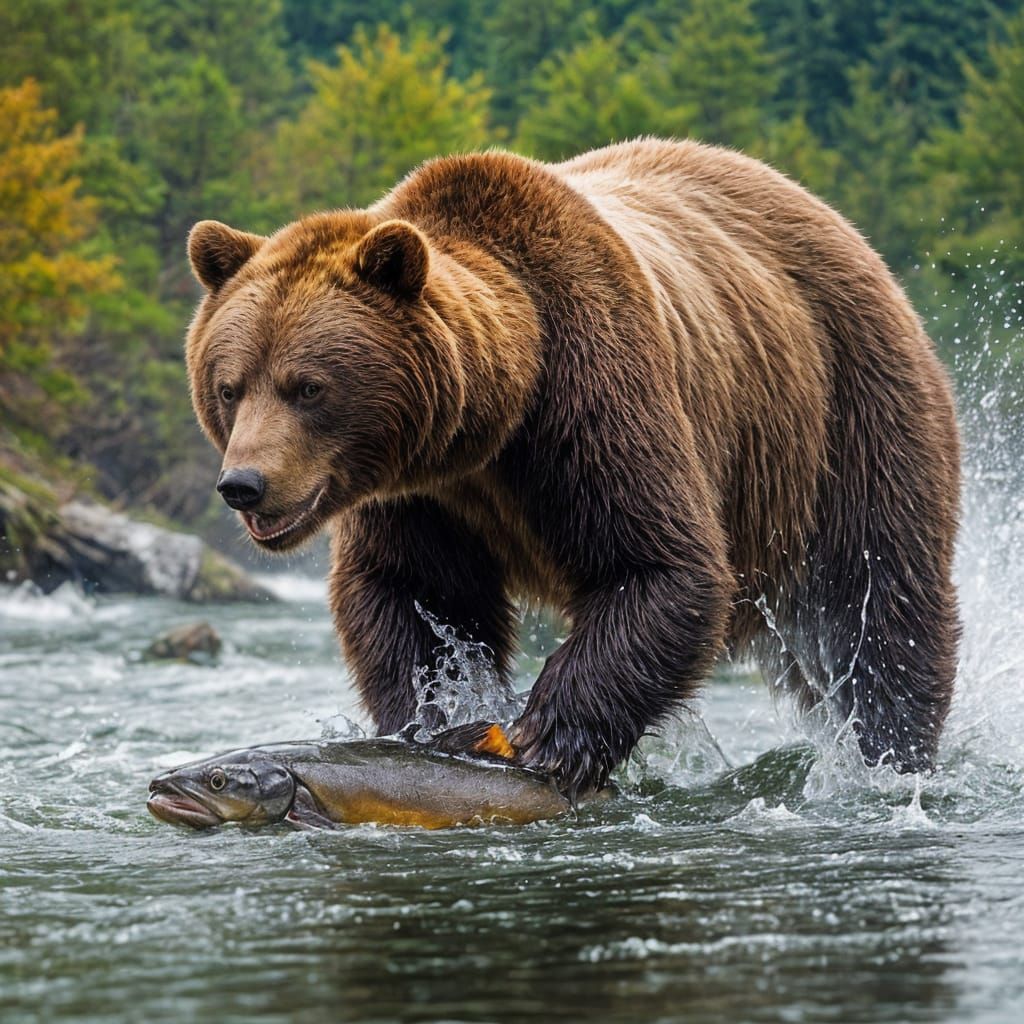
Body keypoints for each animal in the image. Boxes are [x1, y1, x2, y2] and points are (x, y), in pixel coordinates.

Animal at [185, 138, 961, 797]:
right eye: (229, 386)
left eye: (307, 386)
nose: (244, 484)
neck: (493, 424)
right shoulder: (420, 496)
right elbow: (409, 595)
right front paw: (436, 716)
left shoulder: (594, 394)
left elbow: (661, 565)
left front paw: (546, 738)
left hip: (848, 414)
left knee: (879, 601)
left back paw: (892, 755)